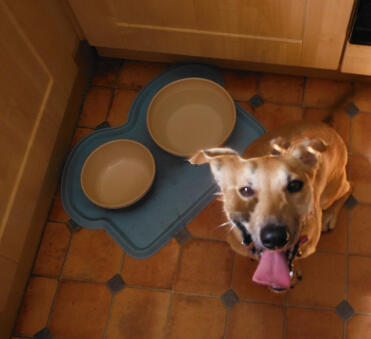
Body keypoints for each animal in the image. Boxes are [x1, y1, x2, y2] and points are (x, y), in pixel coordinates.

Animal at [192, 121, 352, 290]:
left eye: (295, 185)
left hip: (330, 193)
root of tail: (325, 125)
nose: (275, 238)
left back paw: (330, 216)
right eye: (245, 190)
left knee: (349, 187)